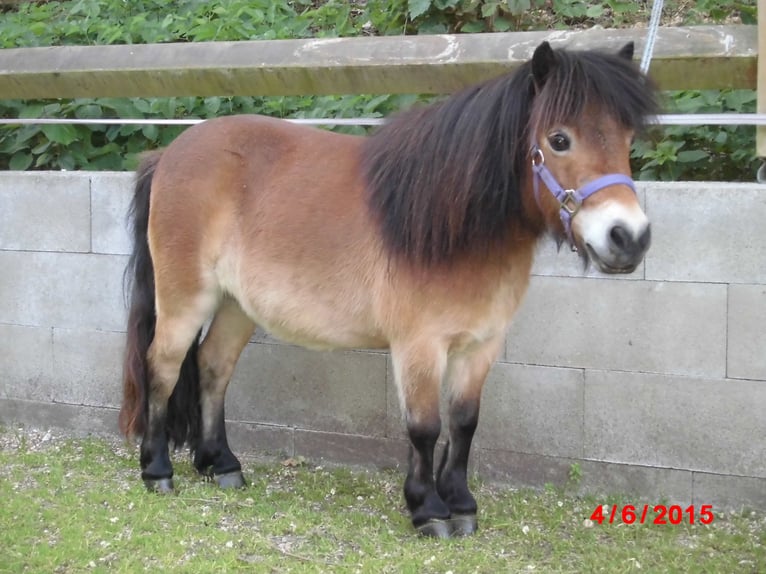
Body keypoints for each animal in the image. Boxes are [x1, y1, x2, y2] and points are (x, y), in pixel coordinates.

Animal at [118, 40, 660, 540]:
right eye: (559, 139)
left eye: (628, 136)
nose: (628, 237)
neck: (450, 222)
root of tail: (170, 153)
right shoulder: (419, 346)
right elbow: (425, 428)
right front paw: (429, 510)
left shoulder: (480, 346)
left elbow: (464, 423)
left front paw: (462, 504)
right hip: (186, 299)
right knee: (163, 366)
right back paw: (158, 470)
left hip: (235, 306)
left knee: (213, 367)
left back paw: (222, 464)